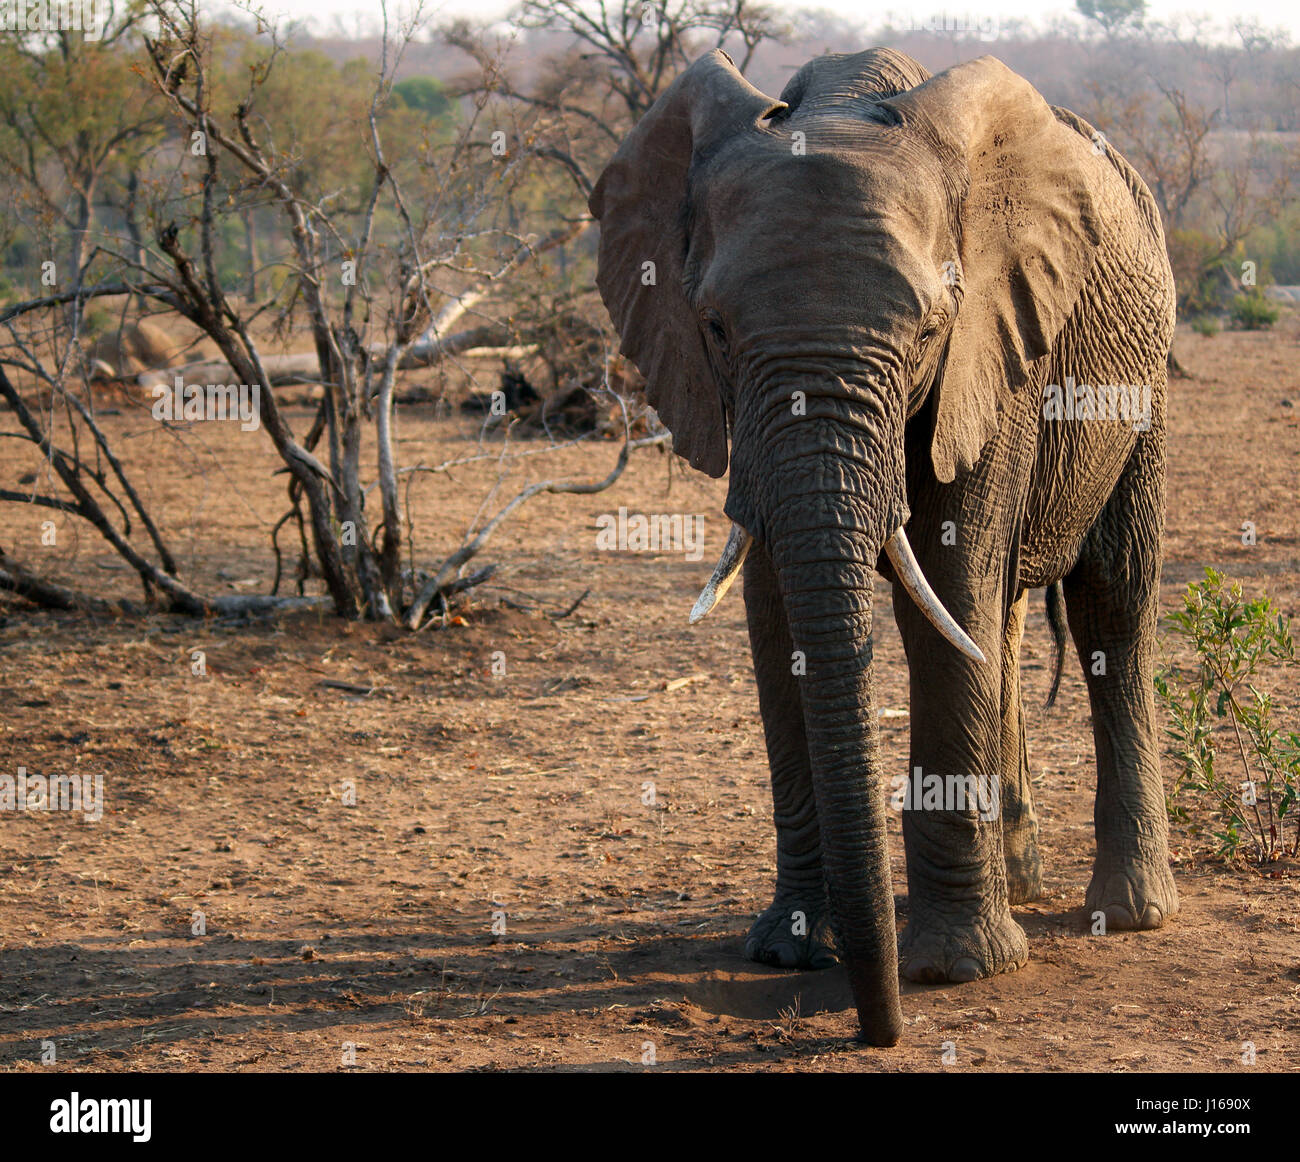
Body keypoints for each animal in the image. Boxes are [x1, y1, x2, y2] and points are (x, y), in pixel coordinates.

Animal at [590, 47, 1180, 1045]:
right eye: (714, 328)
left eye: (930, 329)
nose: (877, 1027)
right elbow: (778, 611)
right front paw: (788, 951)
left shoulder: (995, 350)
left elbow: (951, 577)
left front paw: (956, 969)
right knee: (1003, 621)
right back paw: (1021, 883)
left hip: (1144, 379)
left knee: (1109, 599)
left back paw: (1131, 910)